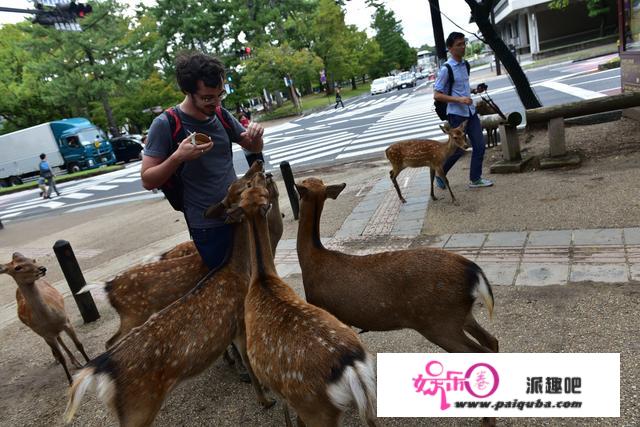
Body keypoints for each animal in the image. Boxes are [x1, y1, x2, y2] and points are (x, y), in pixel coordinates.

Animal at [0, 252, 90, 386]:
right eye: (17, 267)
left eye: (33, 260)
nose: (42, 268)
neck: (48, 319)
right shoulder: (45, 334)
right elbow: (62, 358)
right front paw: (70, 381)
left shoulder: (66, 321)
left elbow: (79, 345)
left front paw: (89, 362)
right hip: (41, 333)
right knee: (58, 340)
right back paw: (64, 359)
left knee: (60, 338)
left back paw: (76, 362)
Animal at [65, 176, 276, 426]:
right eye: (244, 187)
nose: (263, 172)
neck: (237, 269)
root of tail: (102, 369)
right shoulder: (241, 324)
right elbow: (249, 365)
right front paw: (265, 400)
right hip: (138, 405)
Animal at [236, 174, 378, 427]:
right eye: (248, 190)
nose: (265, 174)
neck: (262, 280)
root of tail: (351, 366)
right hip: (368, 400)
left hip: (315, 409)